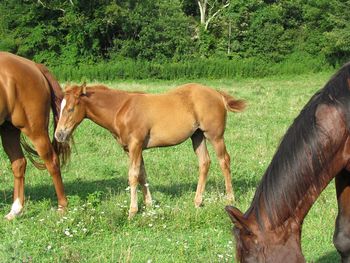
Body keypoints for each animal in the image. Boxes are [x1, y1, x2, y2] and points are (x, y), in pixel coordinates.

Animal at [0, 51, 70, 221]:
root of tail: (34, 66)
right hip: (8, 129)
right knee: (19, 163)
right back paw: (15, 210)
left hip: (35, 131)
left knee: (52, 162)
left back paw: (62, 207)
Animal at [55, 83, 246, 219]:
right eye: (60, 107)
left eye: (71, 109)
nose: (59, 135)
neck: (121, 109)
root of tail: (217, 94)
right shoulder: (132, 149)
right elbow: (142, 174)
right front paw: (149, 204)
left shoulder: (135, 145)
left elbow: (132, 175)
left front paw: (132, 211)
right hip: (197, 136)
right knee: (205, 162)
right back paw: (197, 201)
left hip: (215, 136)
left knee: (224, 160)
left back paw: (230, 198)